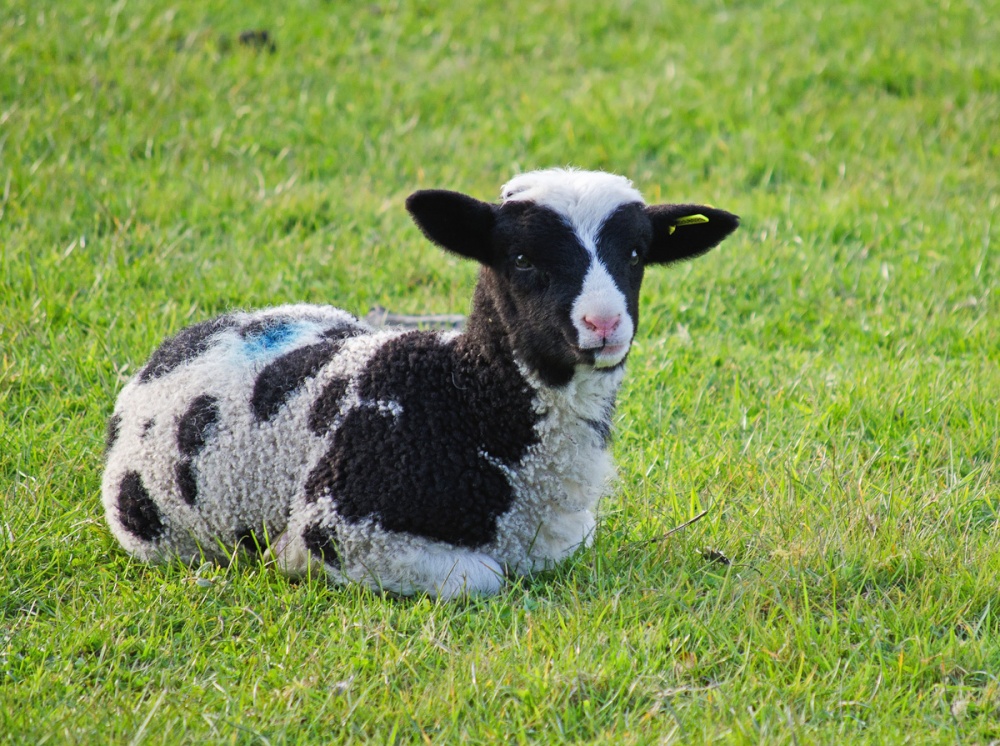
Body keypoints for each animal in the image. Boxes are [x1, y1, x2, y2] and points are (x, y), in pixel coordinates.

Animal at [102, 168, 739, 599]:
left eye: (635, 254)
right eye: (521, 258)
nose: (604, 324)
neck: (468, 399)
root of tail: (180, 341)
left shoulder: (564, 534)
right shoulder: (340, 529)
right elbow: (485, 575)